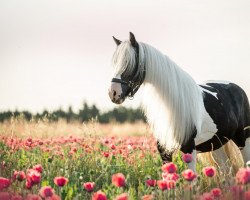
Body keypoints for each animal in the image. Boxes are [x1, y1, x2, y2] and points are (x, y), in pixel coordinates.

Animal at [108, 32, 250, 171]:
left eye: (129, 63)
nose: (113, 93)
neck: (172, 105)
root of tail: (237, 88)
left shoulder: (189, 147)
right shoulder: (164, 149)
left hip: (243, 139)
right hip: (216, 143)